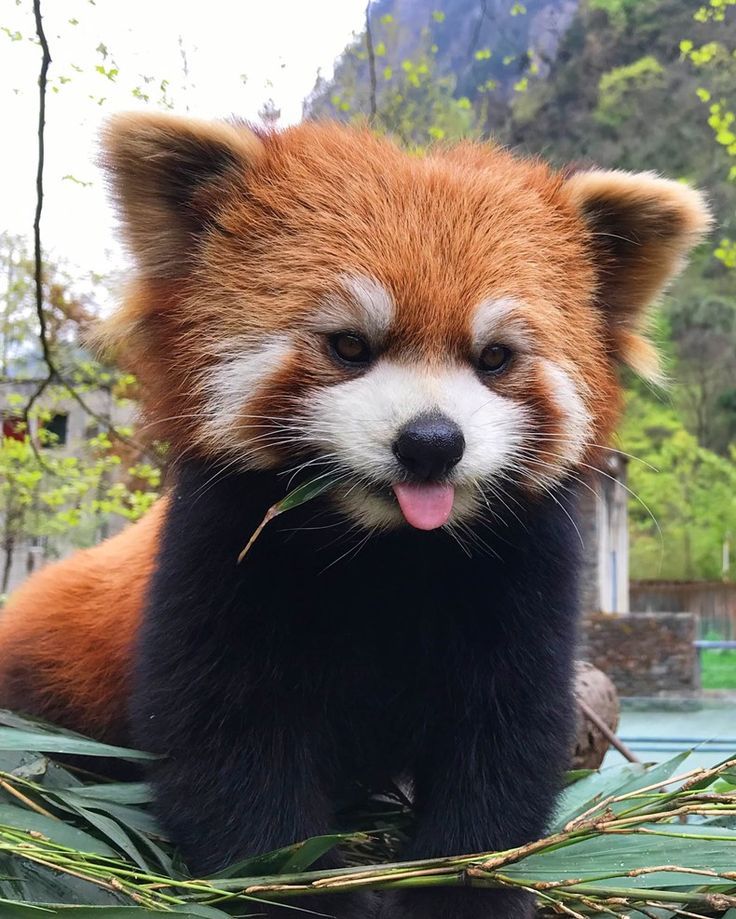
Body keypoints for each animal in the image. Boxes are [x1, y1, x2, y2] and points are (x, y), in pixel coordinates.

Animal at [0, 117, 712, 919]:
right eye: (349, 345)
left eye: (495, 357)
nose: (431, 442)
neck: (384, 549)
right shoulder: (216, 552)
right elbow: (226, 748)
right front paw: (305, 887)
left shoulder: (525, 570)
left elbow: (504, 743)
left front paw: (460, 887)